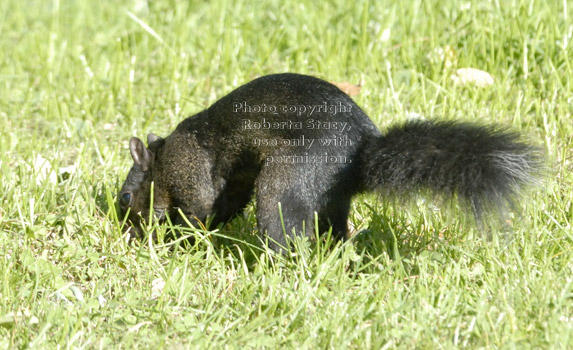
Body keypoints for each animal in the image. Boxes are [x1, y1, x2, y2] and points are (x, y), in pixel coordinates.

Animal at [118, 73, 540, 252]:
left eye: (124, 197)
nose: (127, 231)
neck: (161, 157)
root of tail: (359, 156)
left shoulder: (187, 165)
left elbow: (201, 205)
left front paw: (177, 239)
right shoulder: (233, 179)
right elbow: (223, 204)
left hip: (289, 178)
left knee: (285, 228)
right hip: (331, 198)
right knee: (334, 226)